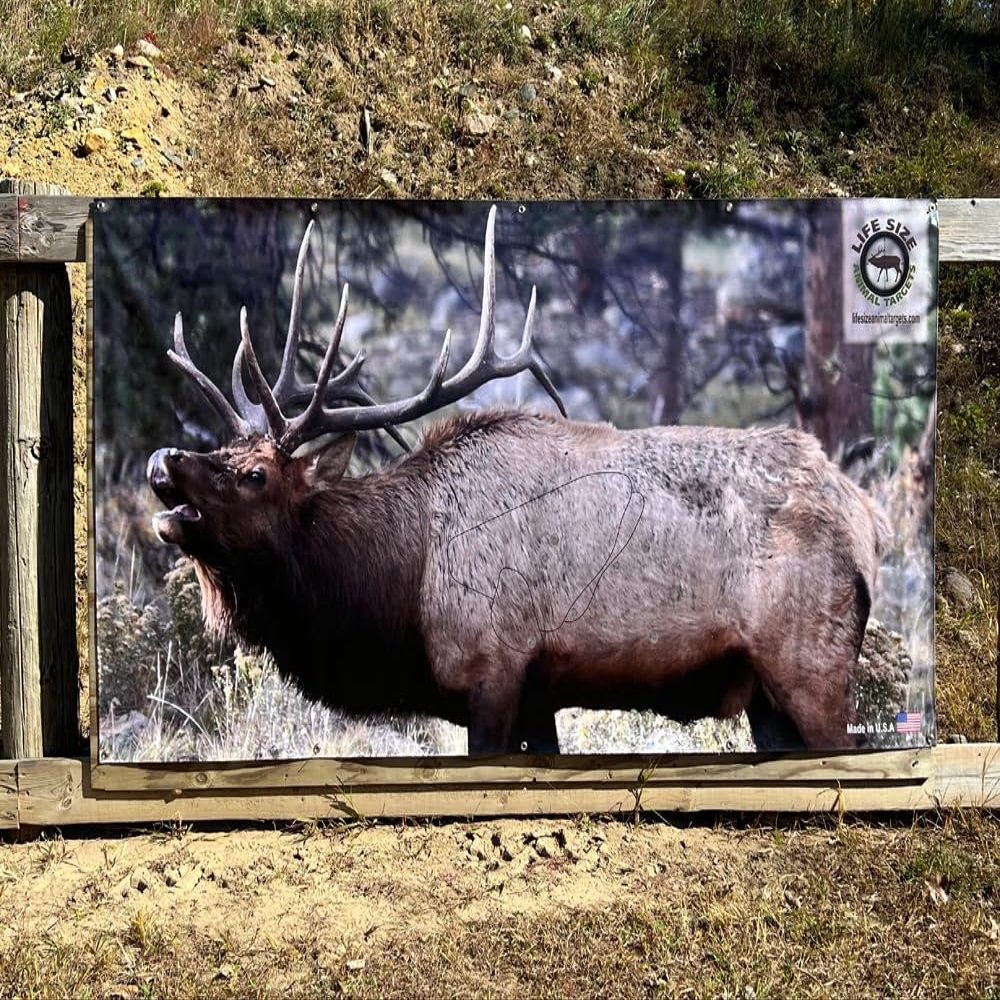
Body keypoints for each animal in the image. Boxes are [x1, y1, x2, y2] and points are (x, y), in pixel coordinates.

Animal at [147, 205, 887, 755]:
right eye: (219, 448)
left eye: (254, 474)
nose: (163, 460)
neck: (398, 596)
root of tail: (867, 518)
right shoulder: (537, 696)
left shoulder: (493, 668)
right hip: (765, 694)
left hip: (811, 660)